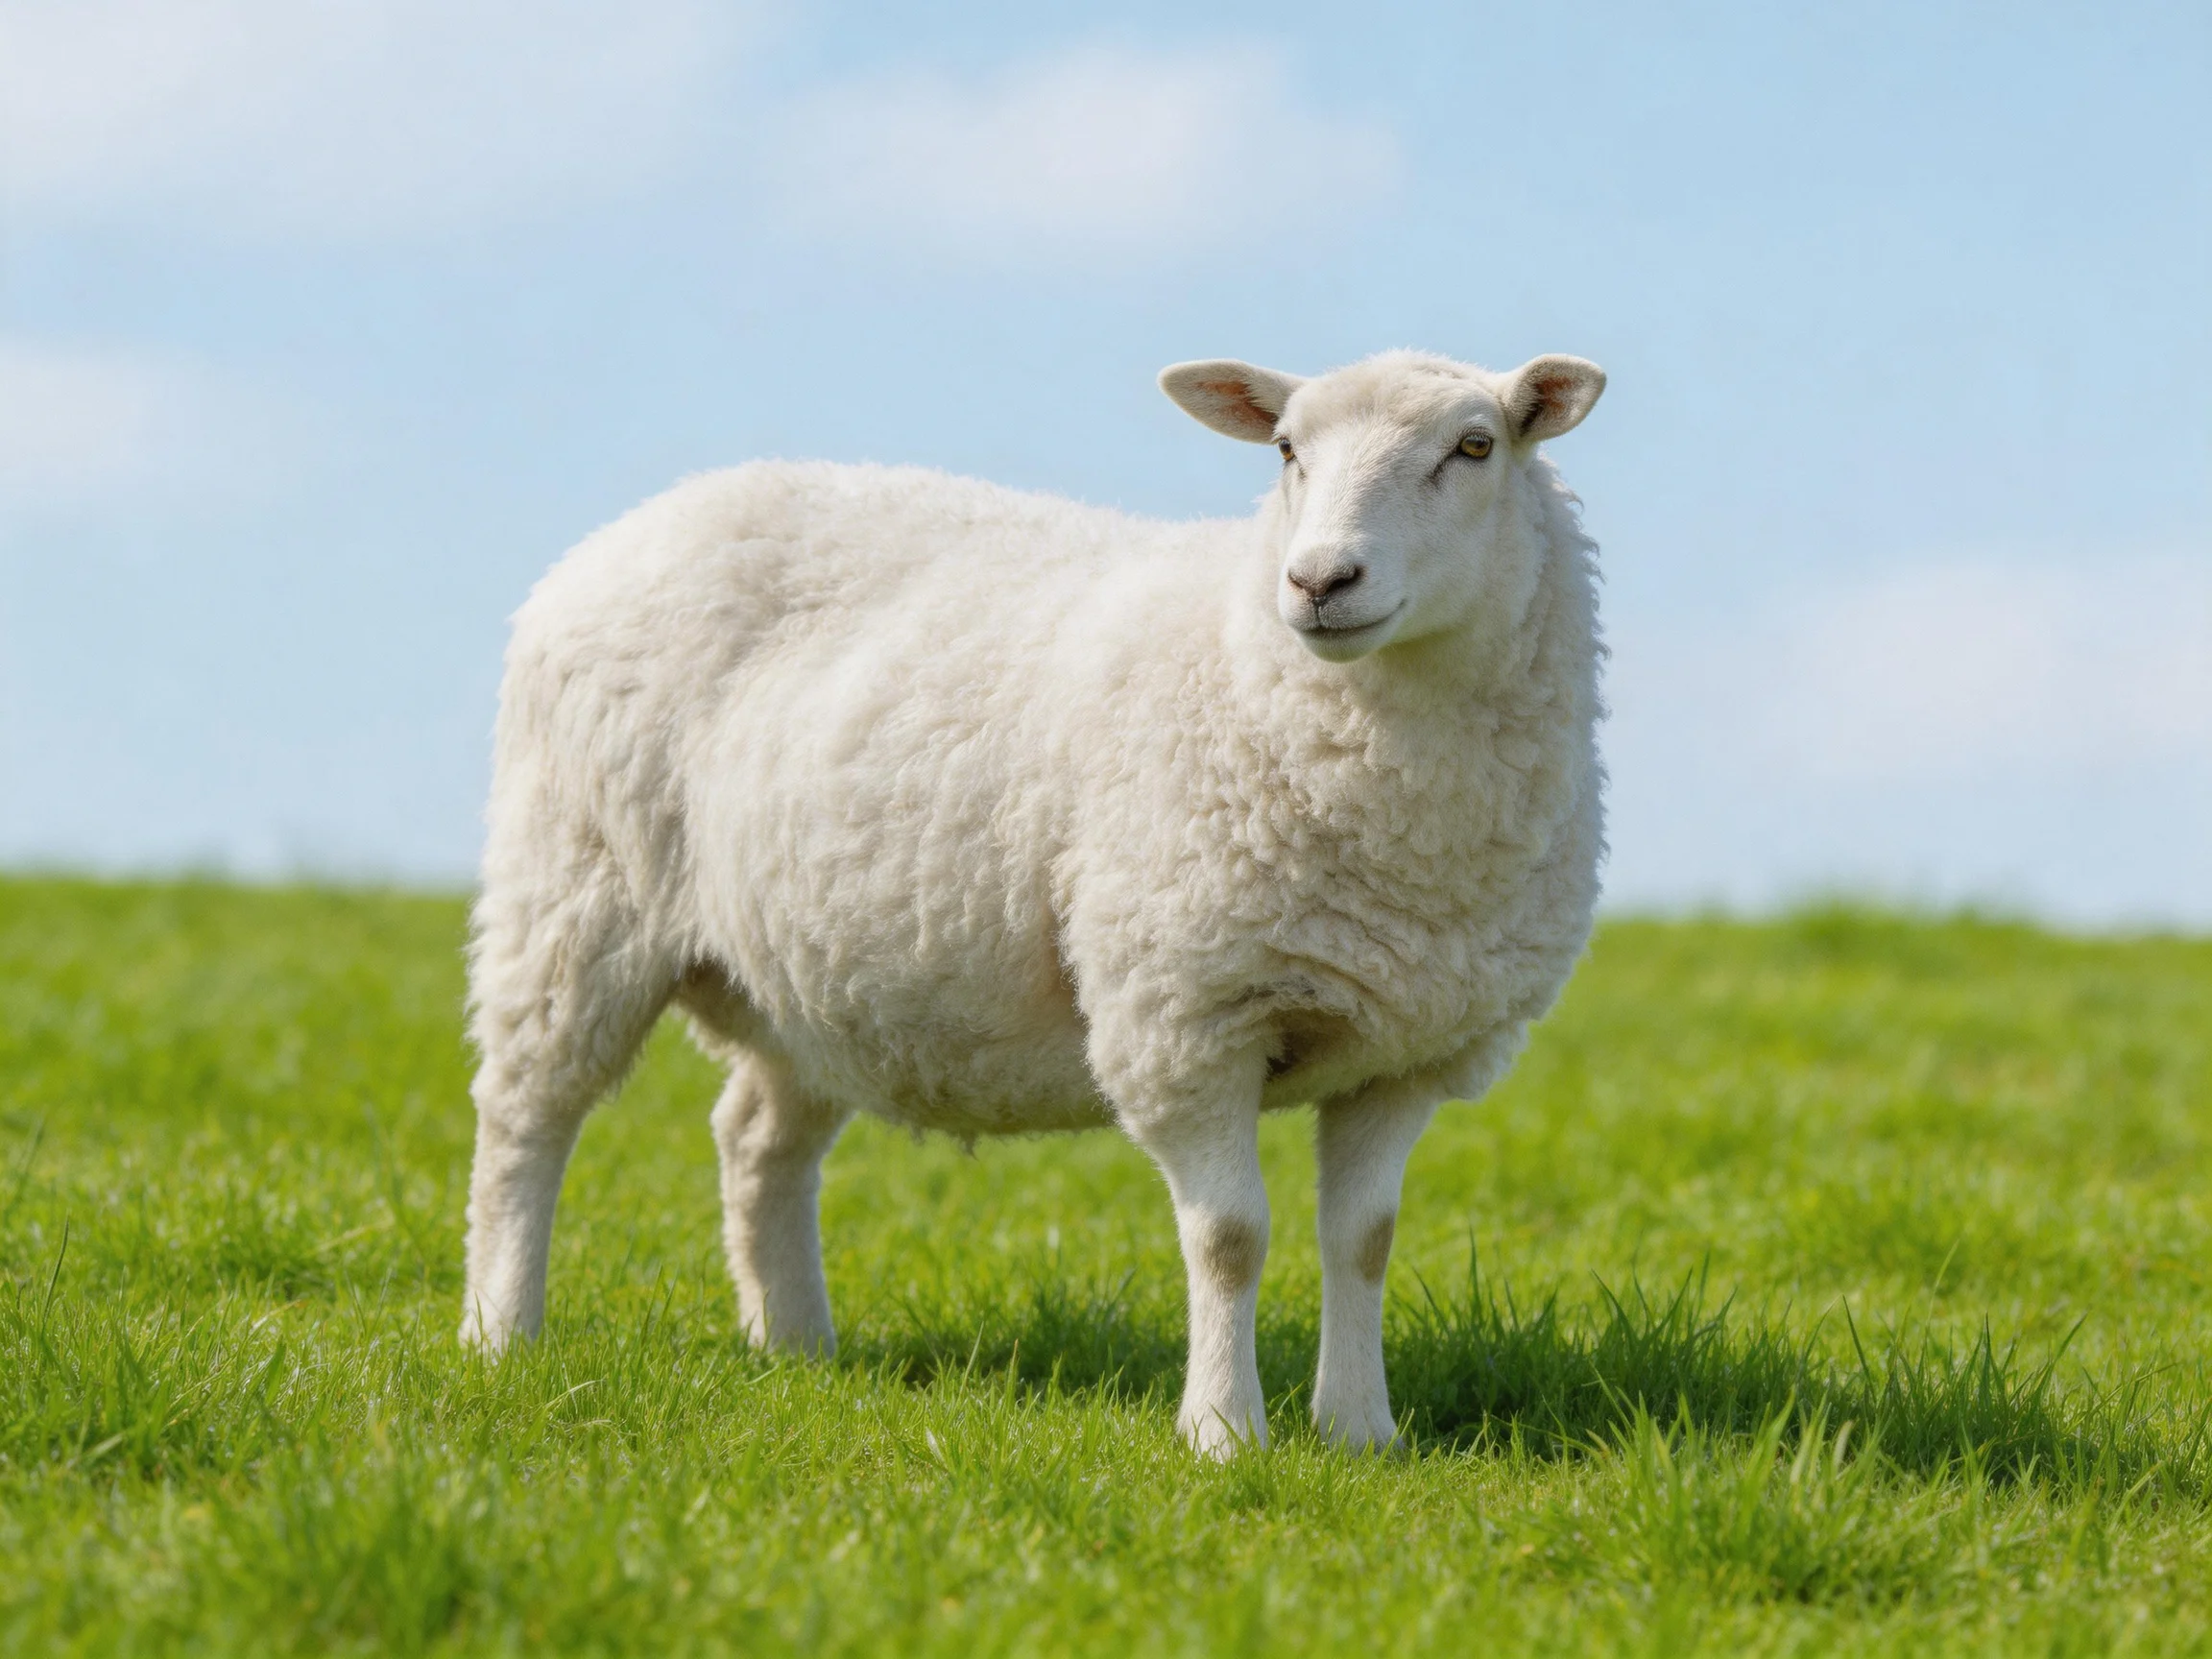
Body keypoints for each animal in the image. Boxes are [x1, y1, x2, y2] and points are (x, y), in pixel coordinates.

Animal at [459, 348, 1609, 1456]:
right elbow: (1229, 1238)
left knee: (757, 1140)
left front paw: (1362, 1434)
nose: (1321, 580)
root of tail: (621, 533)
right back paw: (501, 1333)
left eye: (1474, 446)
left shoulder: (1406, 1049)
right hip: (575, 892)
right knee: (525, 1115)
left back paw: (794, 1346)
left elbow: (1362, 1242)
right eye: (1286, 449)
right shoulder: (1182, 1017)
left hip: (806, 972)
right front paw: (1224, 1434)